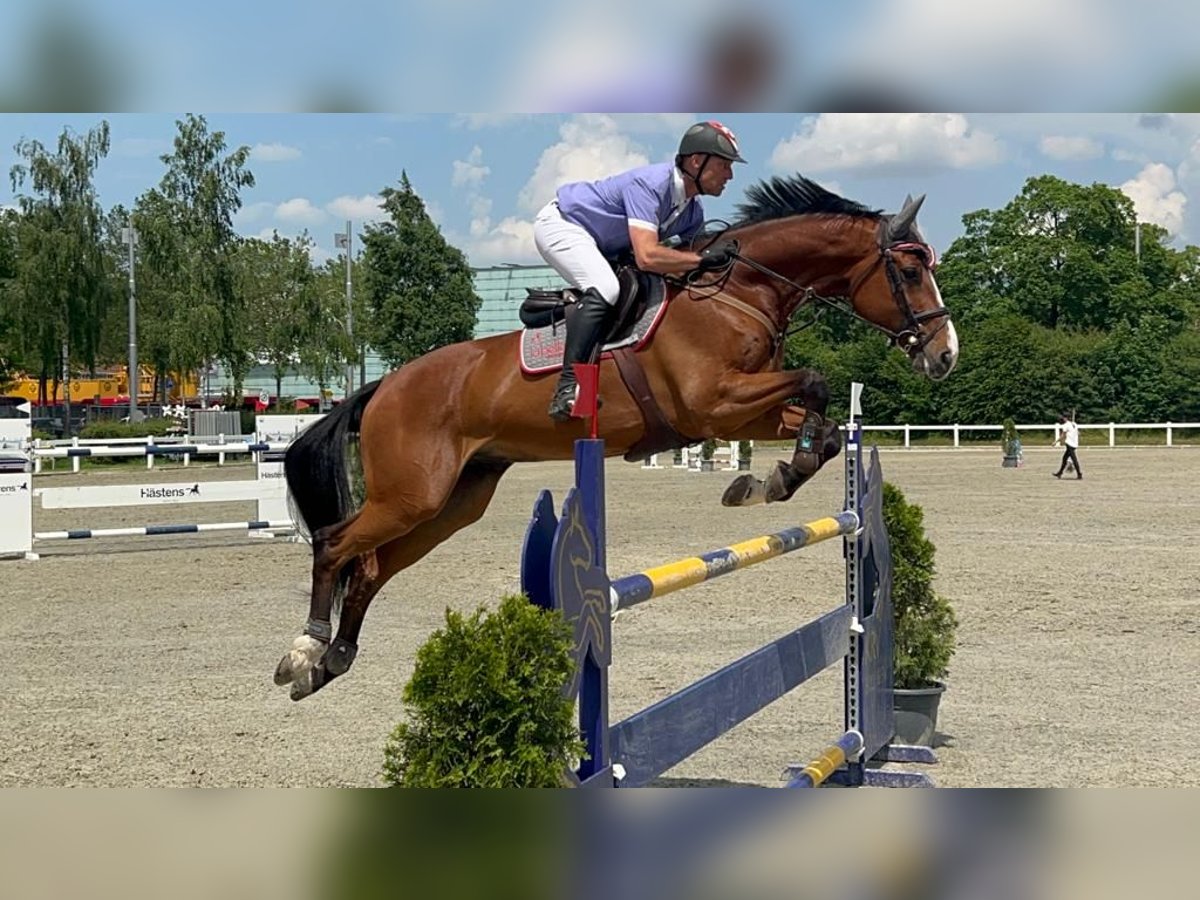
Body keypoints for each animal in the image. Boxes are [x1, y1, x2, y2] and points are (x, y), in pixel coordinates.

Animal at [270, 174, 955, 696]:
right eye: (910, 270)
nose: (945, 355)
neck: (737, 291)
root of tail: (382, 386)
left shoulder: (738, 414)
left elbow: (826, 424)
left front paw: (769, 480)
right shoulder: (713, 403)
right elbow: (814, 380)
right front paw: (774, 477)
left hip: (452, 502)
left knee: (370, 568)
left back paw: (332, 663)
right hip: (412, 493)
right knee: (334, 545)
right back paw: (303, 650)